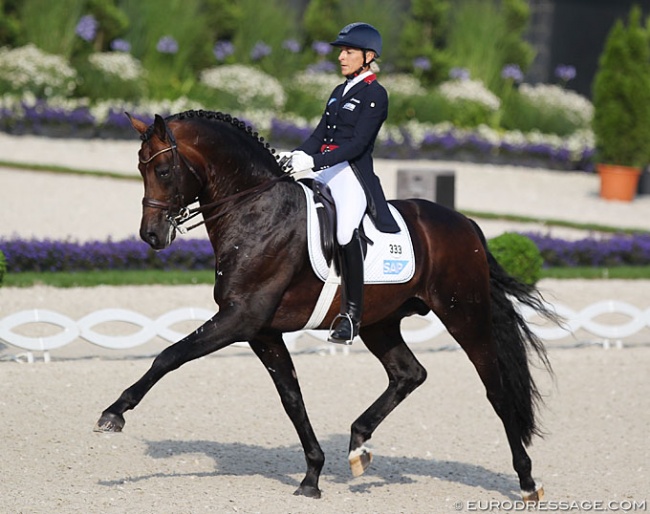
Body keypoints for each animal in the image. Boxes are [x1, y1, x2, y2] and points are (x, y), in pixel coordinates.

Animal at [95, 110, 552, 498]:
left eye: (163, 170)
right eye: (140, 169)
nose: (152, 235)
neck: (255, 209)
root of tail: (465, 224)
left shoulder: (239, 319)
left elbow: (170, 356)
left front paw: (114, 413)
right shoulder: (263, 332)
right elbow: (292, 398)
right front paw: (312, 475)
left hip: (465, 316)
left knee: (496, 390)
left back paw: (527, 481)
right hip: (379, 323)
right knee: (409, 373)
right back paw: (358, 444)